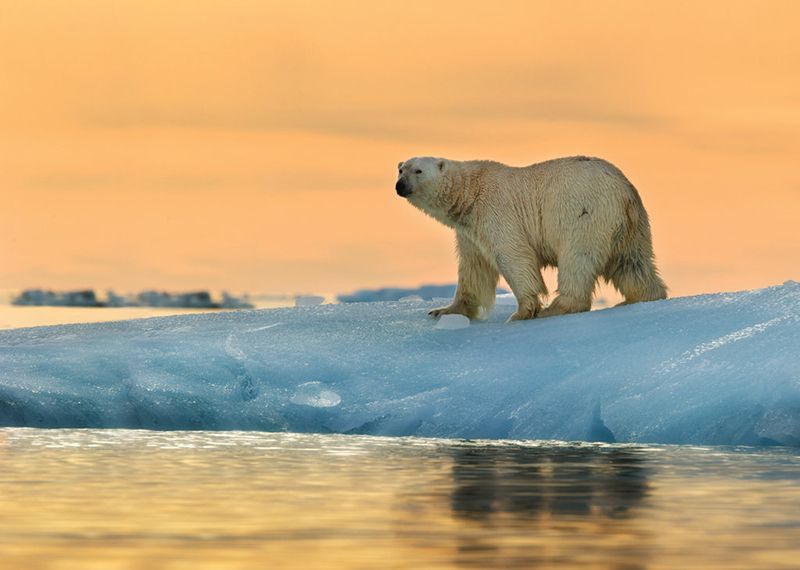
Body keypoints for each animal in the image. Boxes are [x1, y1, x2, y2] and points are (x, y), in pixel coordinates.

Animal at [395, 156, 667, 321]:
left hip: (584, 215)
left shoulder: (496, 212)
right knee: (633, 264)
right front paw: (443, 311)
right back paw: (641, 297)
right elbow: (474, 270)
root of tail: (625, 193)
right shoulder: (469, 232)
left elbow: (514, 255)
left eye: (418, 170)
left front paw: (521, 312)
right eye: (400, 169)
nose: (400, 185)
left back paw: (556, 308)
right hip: (632, 228)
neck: (469, 194)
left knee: (577, 260)